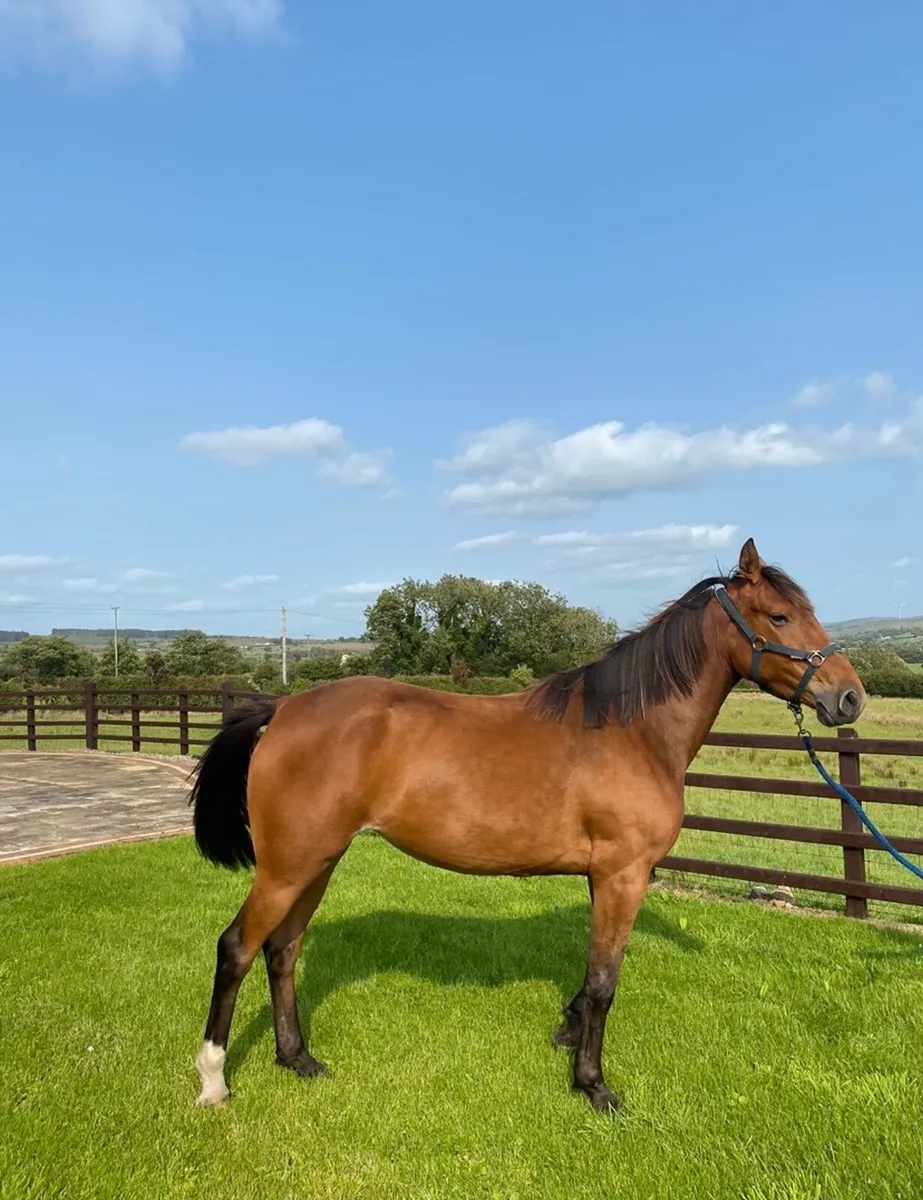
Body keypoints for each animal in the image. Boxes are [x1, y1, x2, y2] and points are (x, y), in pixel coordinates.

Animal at [189, 538, 865, 1113]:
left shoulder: (604, 876)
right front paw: (593, 1085)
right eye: (779, 617)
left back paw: (297, 1058)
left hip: (319, 862)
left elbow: (590, 977)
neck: (632, 731)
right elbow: (605, 982)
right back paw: (214, 1080)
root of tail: (283, 709)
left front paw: (568, 1031)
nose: (850, 697)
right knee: (237, 948)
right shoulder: (624, 874)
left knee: (283, 950)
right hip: (288, 867)